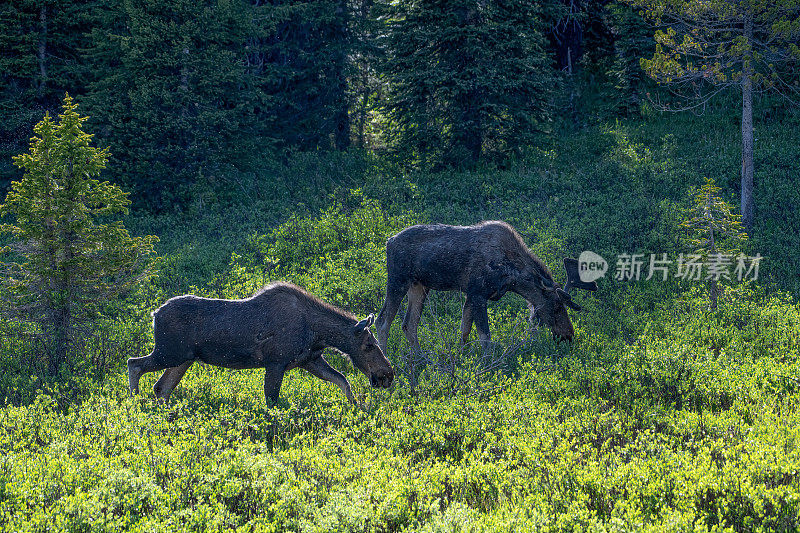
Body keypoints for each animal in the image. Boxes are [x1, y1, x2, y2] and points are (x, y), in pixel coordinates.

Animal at [126, 280, 396, 406]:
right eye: (369, 345)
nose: (388, 374)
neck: (317, 332)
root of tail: (154, 314)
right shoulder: (276, 362)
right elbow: (272, 401)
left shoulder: (309, 360)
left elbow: (343, 381)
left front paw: (358, 407)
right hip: (169, 352)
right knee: (134, 364)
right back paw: (133, 401)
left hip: (183, 359)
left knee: (161, 388)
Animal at [374, 220, 592, 354]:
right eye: (556, 307)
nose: (569, 335)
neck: (512, 276)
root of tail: (388, 242)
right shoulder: (478, 293)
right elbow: (484, 337)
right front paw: (486, 365)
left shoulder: (472, 295)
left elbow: (464, 331)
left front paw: (461, 357)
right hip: (398, 280)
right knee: (382, 321)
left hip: (419, 286)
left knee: (408, 324)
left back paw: (420, 358)